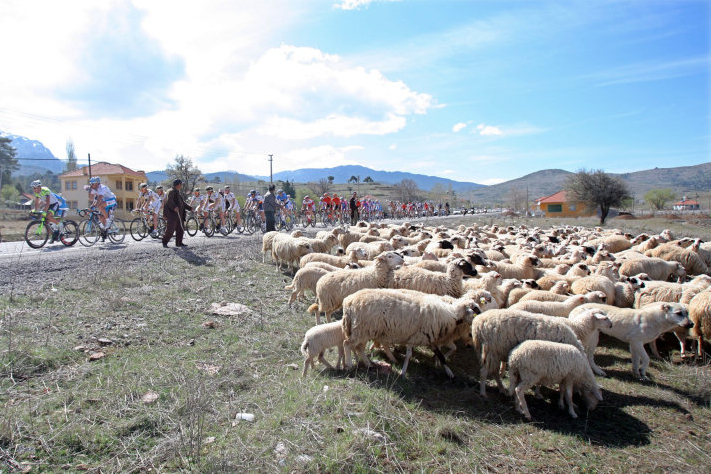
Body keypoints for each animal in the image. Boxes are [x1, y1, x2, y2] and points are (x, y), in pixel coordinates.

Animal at [342, 288, 482, 378]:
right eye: (476, 309)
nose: (482, 318)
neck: (451, 315)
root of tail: (348, 301)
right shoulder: (417, 337)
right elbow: (409, 355)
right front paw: (403, 372)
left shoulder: (429, 339)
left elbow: (441, 356)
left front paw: (450, 373)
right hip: (362, 329)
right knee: (347, 344)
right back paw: (349, 364)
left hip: (366, 331)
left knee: (359, 347)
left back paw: (369, 363)